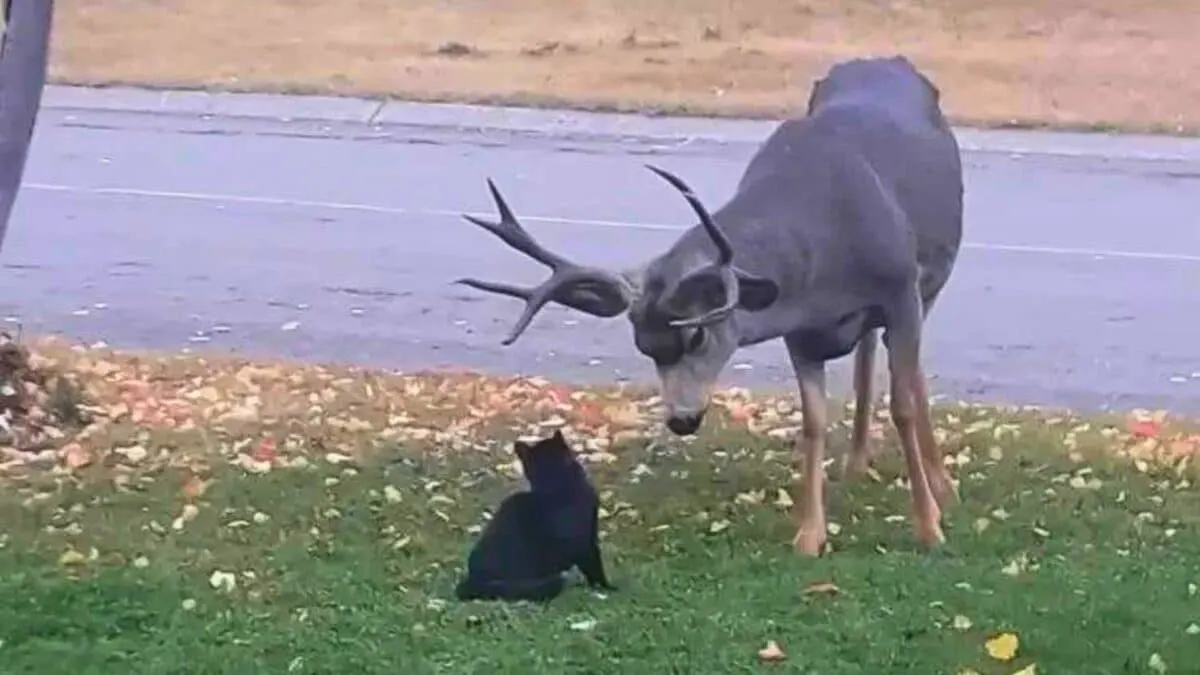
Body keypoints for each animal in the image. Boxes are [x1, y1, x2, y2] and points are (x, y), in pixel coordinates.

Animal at [456, 56, 964, 552]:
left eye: (697, 332)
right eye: (643, 346)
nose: (681, 420)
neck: (825, 251)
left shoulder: (899, 289)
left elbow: (903, 404)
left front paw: (929, 527)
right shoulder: (801, 330)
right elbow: (813, 421)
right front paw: (810, 535)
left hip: (929, 285)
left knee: (909, 372)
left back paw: (940, 482)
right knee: (867, 352)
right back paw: (857, 462)